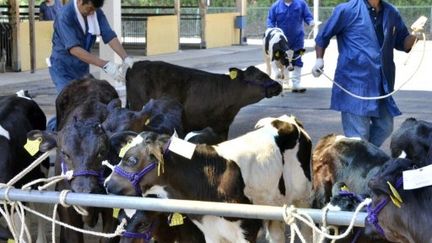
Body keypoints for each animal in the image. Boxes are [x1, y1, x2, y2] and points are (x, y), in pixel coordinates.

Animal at [104, 114, 312, 243]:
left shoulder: (248, 230)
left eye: (131, 159)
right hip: (273, 208)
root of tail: (285, 119)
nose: (107, 183)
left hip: (303, 198)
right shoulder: (210, 232)